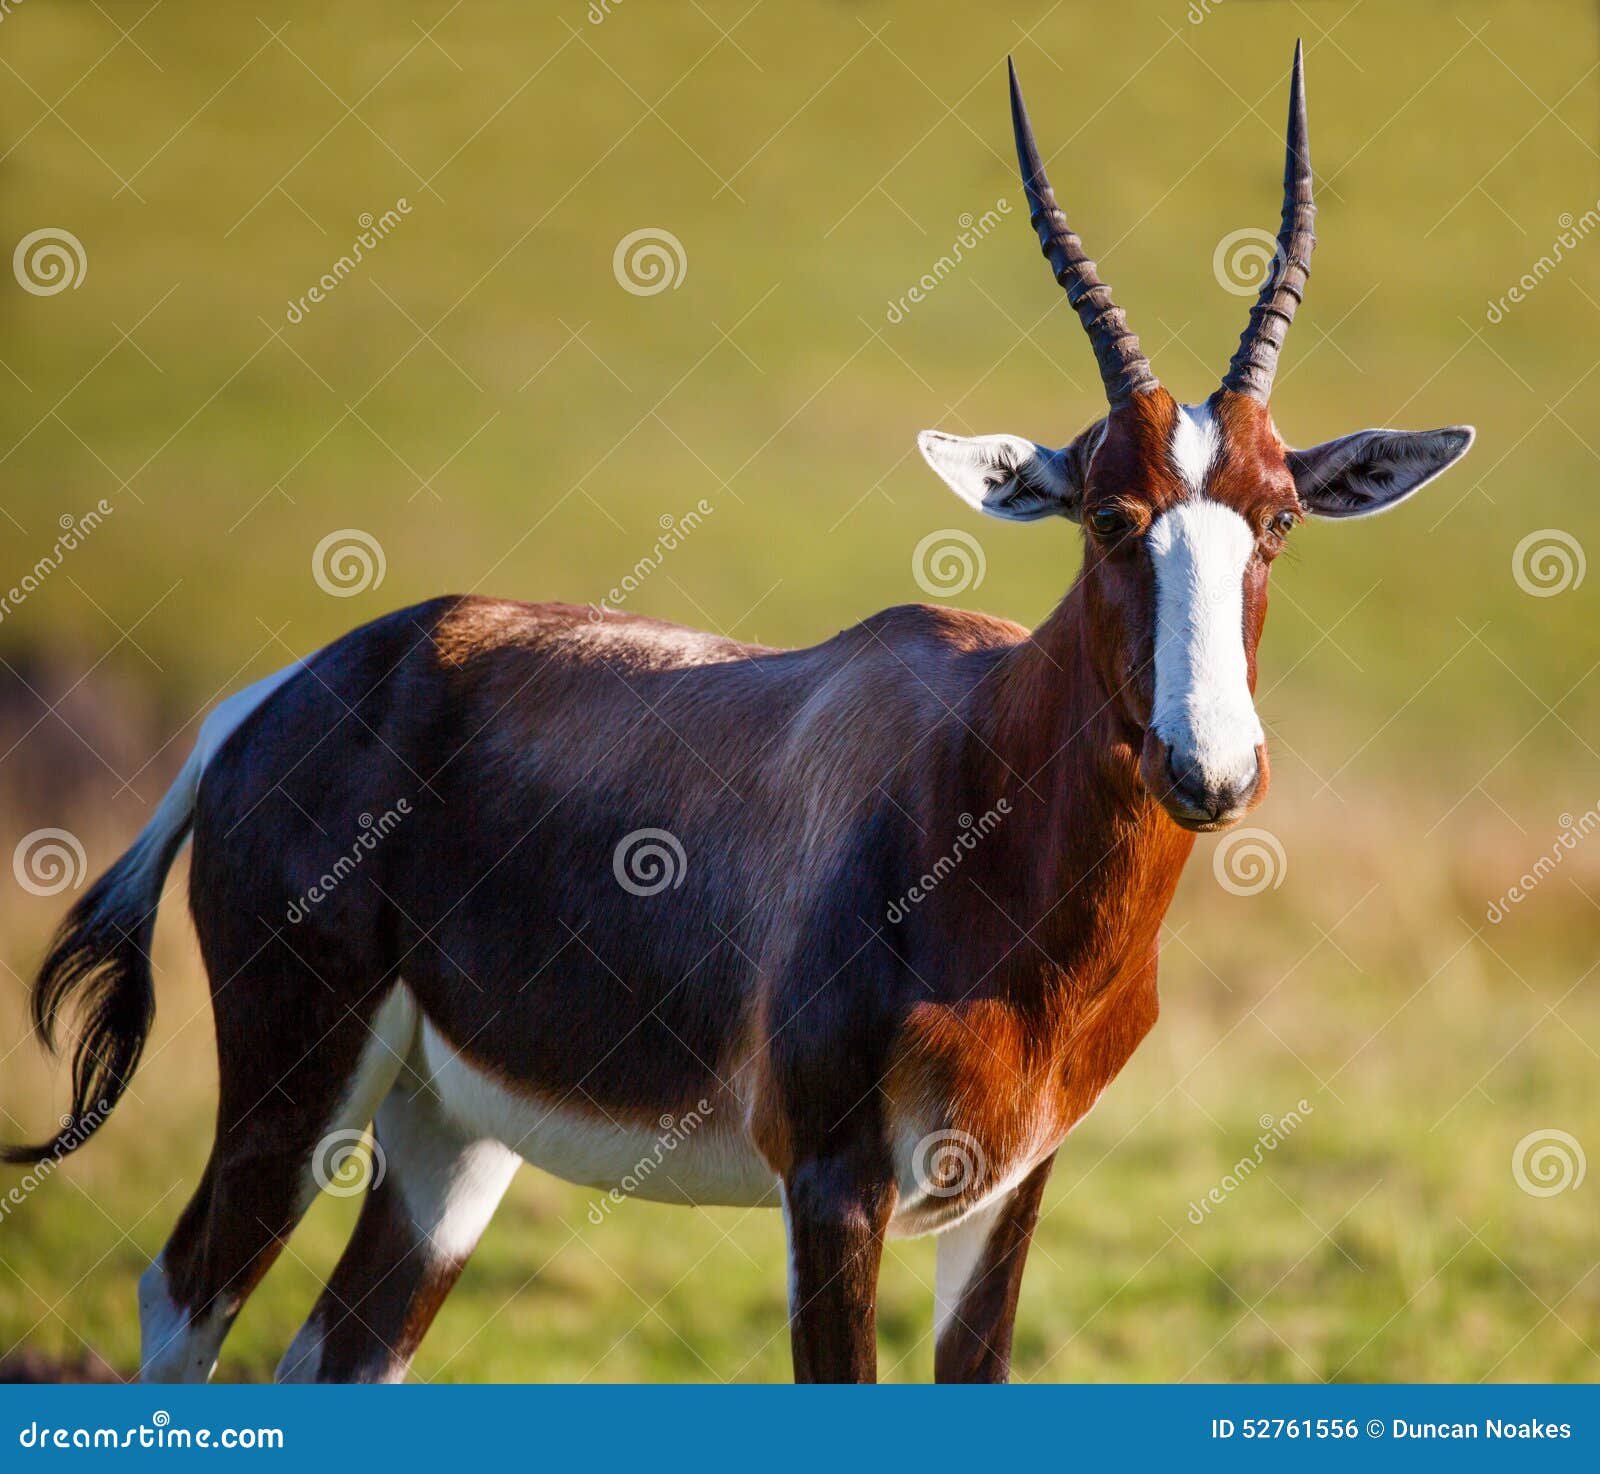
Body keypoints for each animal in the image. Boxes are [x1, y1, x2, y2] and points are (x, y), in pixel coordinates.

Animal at [5, 44, 1472, 1384]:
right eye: (1110, 516)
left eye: (1277, 519)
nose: (1207, 769)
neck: (971, 783)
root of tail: (279, 696)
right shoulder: (830, 1180)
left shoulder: (1006, 1188)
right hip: (294, 1075)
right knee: (181, 1298)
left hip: (449, 1129)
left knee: (337, 1351)